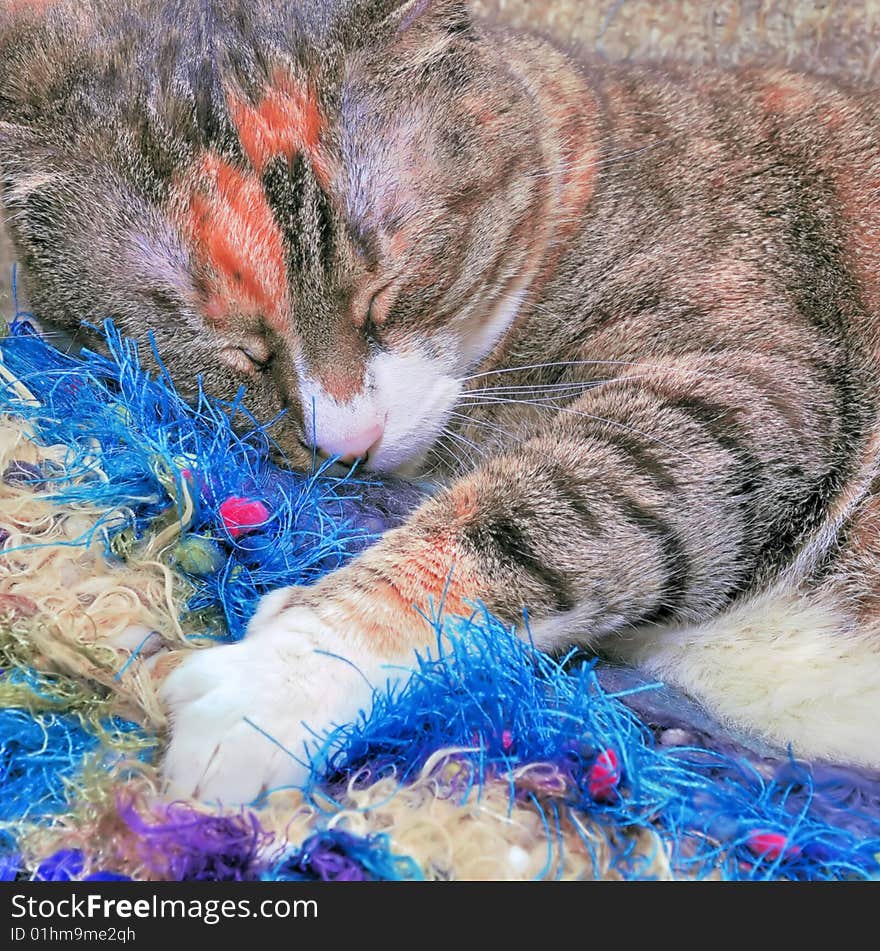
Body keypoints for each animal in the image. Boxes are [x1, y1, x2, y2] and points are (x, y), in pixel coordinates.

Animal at [1, 0, 880, 804]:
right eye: (239, 349)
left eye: (388, 290)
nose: (348, 441)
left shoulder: (751, 368)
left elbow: (532, 518)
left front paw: (278, 680)